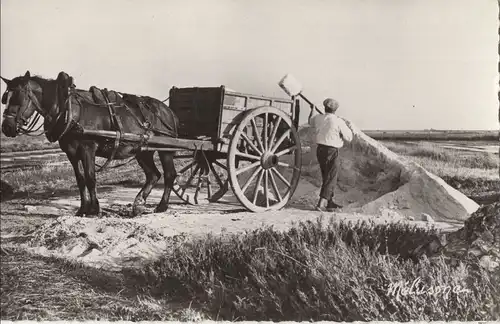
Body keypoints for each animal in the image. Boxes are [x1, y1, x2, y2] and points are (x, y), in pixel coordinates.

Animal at [0, 71, 180, 218]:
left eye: (18, 97)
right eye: (5, 98)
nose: (6, 127)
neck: (68, 111)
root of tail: (167, 110)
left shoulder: (88, 148)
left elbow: (90, 178)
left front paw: (94, 209)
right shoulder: (71, 153)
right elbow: (80, 180)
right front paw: (83, 209)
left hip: (165, 150)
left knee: (169, 174)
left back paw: (162, 206)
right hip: (143, 150)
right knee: (153, 175)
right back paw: (138, 203)